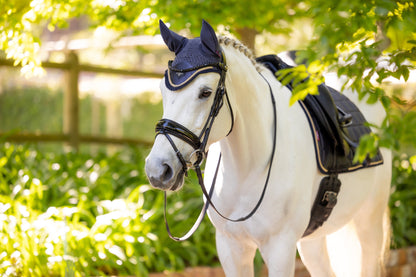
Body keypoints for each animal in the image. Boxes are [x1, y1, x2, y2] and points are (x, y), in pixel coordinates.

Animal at [145, 20, 392, 276]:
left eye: (205, 92)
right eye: (162, 90)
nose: (158, 170)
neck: (248, 168)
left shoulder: (280, 249)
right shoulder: (230, 247)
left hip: (369, 223)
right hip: (312, 240)